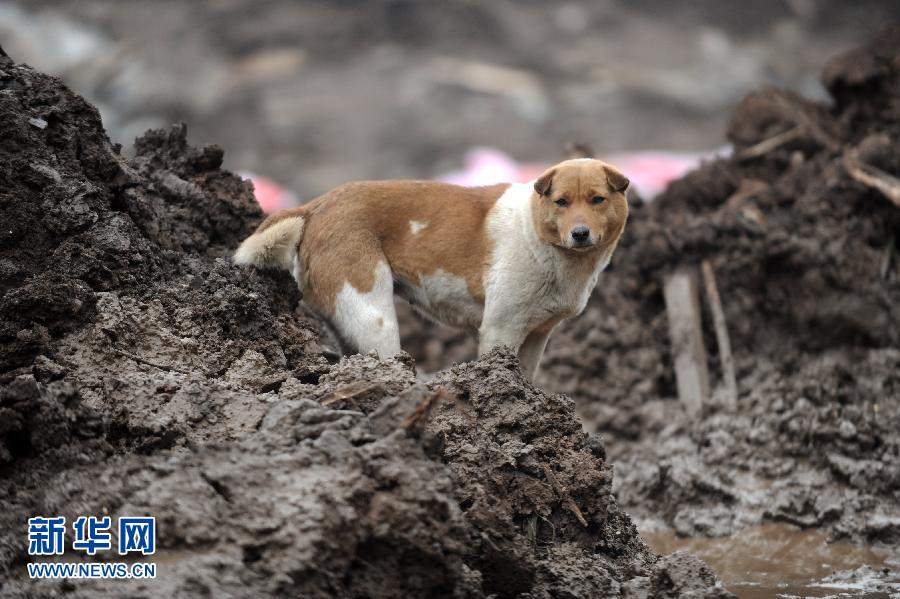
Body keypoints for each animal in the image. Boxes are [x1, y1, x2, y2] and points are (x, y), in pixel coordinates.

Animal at [236, 158, 628, 380]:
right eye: (562, 202)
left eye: (597, 199)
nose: (580, 233)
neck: (535, 231)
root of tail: (315, 206)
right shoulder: (499, 330)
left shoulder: (537, 335)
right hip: (374, 319)